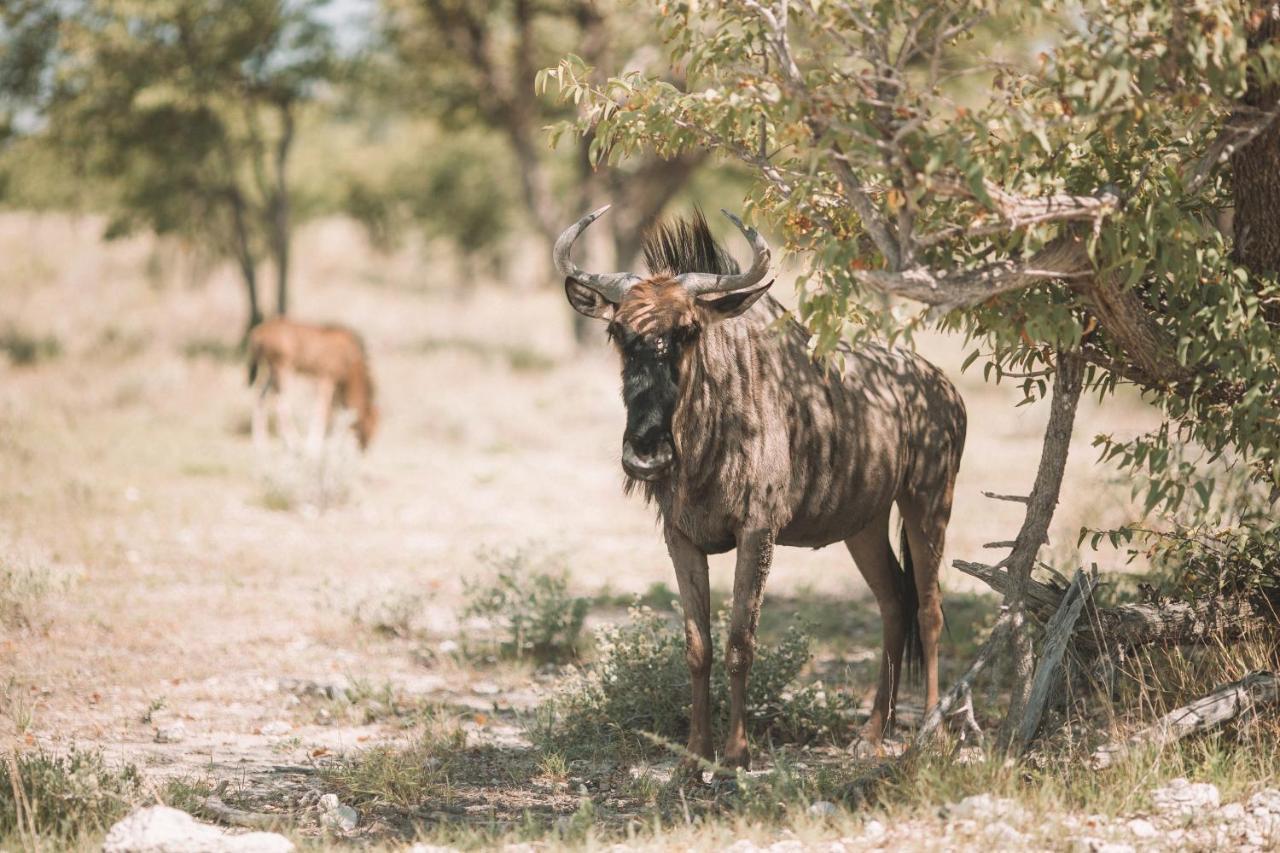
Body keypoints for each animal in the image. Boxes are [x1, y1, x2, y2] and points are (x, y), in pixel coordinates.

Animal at [244, 317, 373, 450]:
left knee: (260, 397)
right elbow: (323, 410)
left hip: (270, 372)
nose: (365, 448)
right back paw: (294, 443)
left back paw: (261, 445)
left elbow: (334, 412)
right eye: (371, 426)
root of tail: (259, 332)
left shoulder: (330, 383)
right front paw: (314, 446)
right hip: (283, 369)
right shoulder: (326, 378)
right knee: (282, 403)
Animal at [555, 207, 962, 768]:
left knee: (929, 609)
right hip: (864, 525)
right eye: (617, 330)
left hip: (928, 503)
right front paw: (693, 756)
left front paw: (737, 754)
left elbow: (740, 643)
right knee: (893, 605)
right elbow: (697, 646)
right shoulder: (680, 539)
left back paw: (930, 734)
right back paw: (871, 734)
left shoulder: (757, 533)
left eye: (687, 331)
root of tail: (943, 387)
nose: (645, 454)